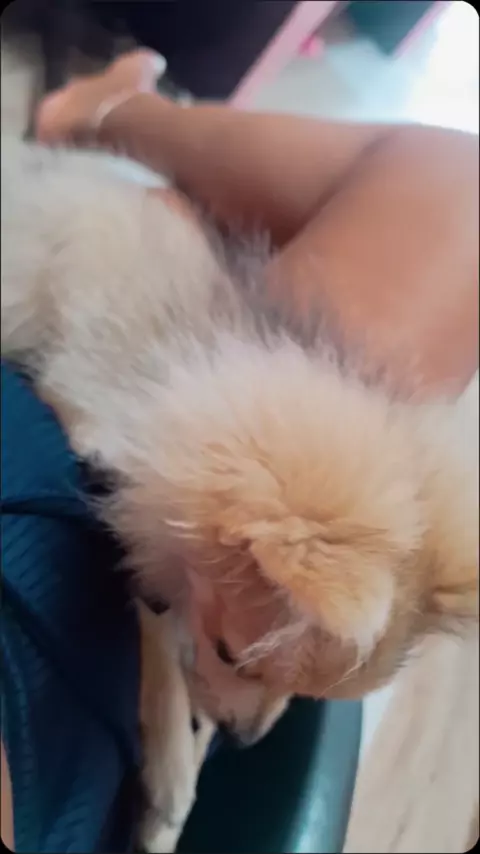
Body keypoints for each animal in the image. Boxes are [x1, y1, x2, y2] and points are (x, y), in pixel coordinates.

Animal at [1, 138, 478, 850]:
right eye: (233, 654)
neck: (175, 359)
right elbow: (159, 644)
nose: (245, 739)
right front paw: (171, 762)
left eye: (305, 696)